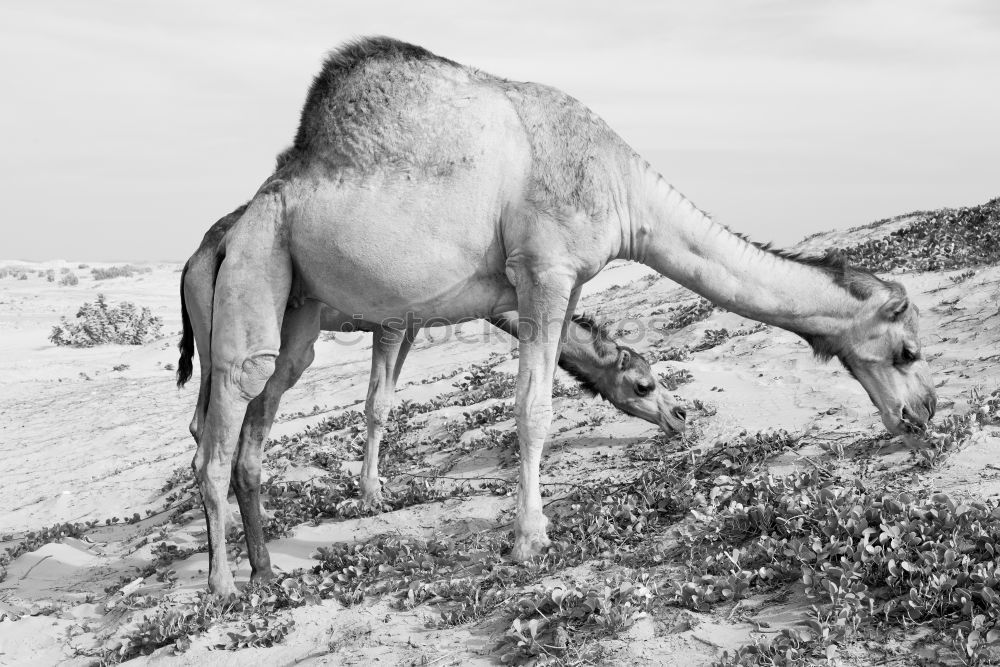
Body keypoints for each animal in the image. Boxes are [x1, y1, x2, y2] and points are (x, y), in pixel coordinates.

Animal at [178, 206, 688, 576]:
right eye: (644, 383)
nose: (679, 416)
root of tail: (193, 261)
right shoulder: (392, 321)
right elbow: (378, 404)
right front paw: (371, 495)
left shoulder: (411, 324)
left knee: (205, 423)